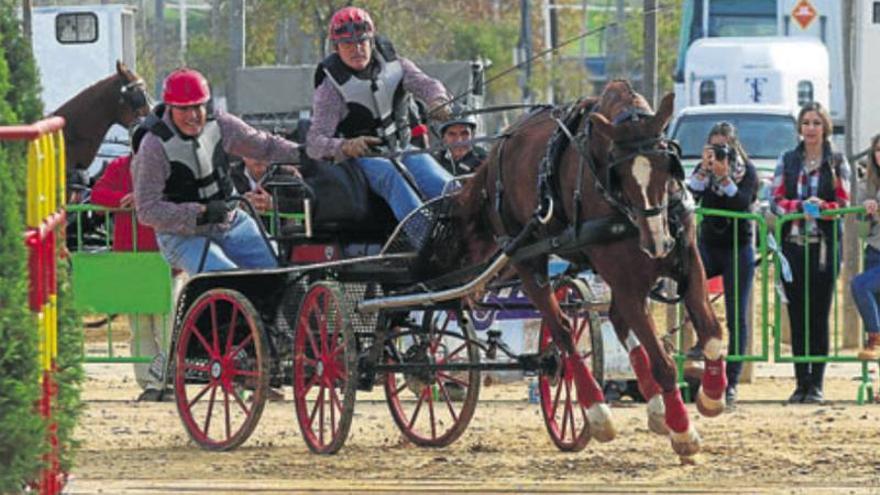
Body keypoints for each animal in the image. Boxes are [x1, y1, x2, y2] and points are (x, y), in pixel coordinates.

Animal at [458, 80, 724, 458]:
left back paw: (654, 407)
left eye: (666, 164)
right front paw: (683, 431)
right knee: (564, 332)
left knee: (613, 319)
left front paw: (711, 396)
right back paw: (597, 411)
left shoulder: (687, 262)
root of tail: (497, 150)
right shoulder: (627, 281)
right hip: (527, 259)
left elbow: (712, 332)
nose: (657, 243)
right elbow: (663, 363)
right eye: (620, 174)